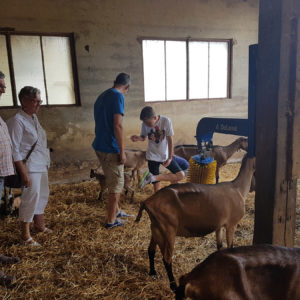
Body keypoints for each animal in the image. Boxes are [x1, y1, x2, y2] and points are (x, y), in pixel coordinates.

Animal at [136, 156, 255, 292]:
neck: (238, 188)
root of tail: (147, 202)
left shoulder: (219, 226)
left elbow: (219, 246)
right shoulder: (231, 224)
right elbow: (230, 248)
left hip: (156, 228)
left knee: (151, 250)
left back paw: (152, 272)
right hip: (168, 230)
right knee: (166, 258)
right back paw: (173, 286)